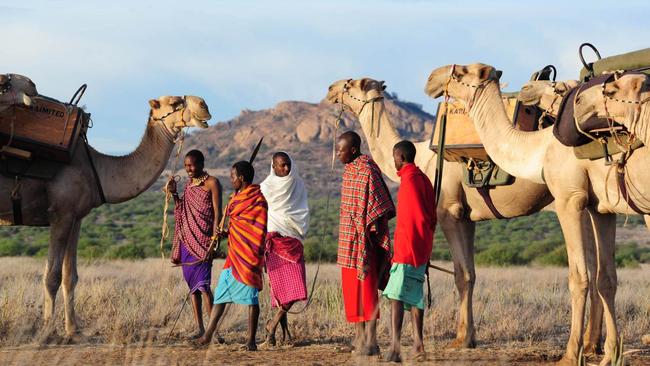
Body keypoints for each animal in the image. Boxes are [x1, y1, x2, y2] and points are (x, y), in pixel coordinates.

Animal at [0, 96, 210, 338]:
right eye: (175, 102)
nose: (204, 106)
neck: (97, 169)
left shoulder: (75, 217)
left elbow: (70, 276)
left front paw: (74, 330)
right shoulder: (60, 213)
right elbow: (51, 276)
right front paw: (47, 332)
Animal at [324, 78, 552, 348]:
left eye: (352, 84)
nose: (331, 89)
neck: (424, 158)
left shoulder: (449, 211)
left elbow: (462, 275)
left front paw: (461, 340)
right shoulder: (467, 217)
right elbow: (472, 273)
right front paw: (469, 337)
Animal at [426, 64, 648, 364]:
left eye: (462, 71)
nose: (431, 79)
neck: (542, 147)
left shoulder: (569, 199)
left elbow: (578, 277)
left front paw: (571, 354)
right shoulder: (600, 207)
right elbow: (606, 279)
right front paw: (610, 354)